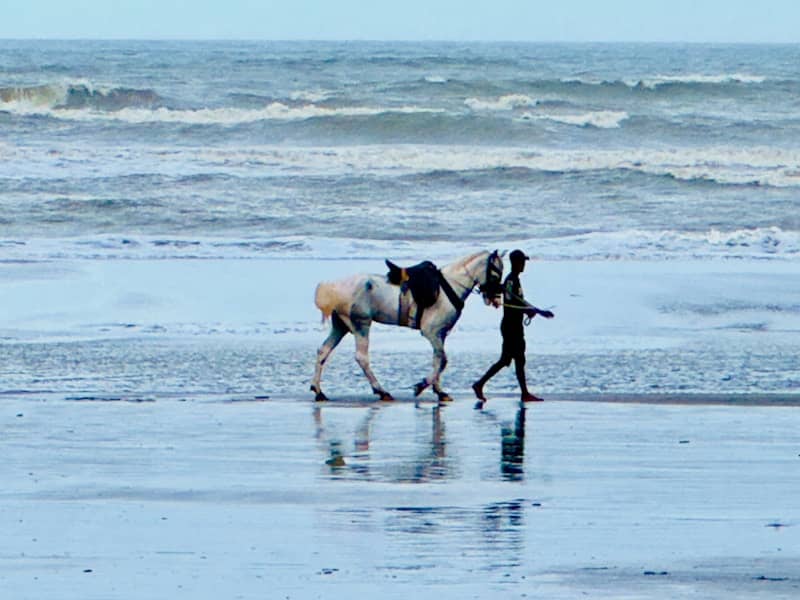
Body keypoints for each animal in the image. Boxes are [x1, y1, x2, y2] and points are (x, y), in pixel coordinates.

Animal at [310, 250, 505, 403]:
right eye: (496, 274)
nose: (495, 299)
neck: (448, 286)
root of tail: (334, 288)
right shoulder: (431, 332)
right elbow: (442, 360)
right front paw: (421, 386)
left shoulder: (440, 334)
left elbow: (438, 360)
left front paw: (439, 391)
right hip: (361, 324)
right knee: (361, 357)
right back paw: (381, 391)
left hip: (341, 326)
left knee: (323, 351)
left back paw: (318, 391)